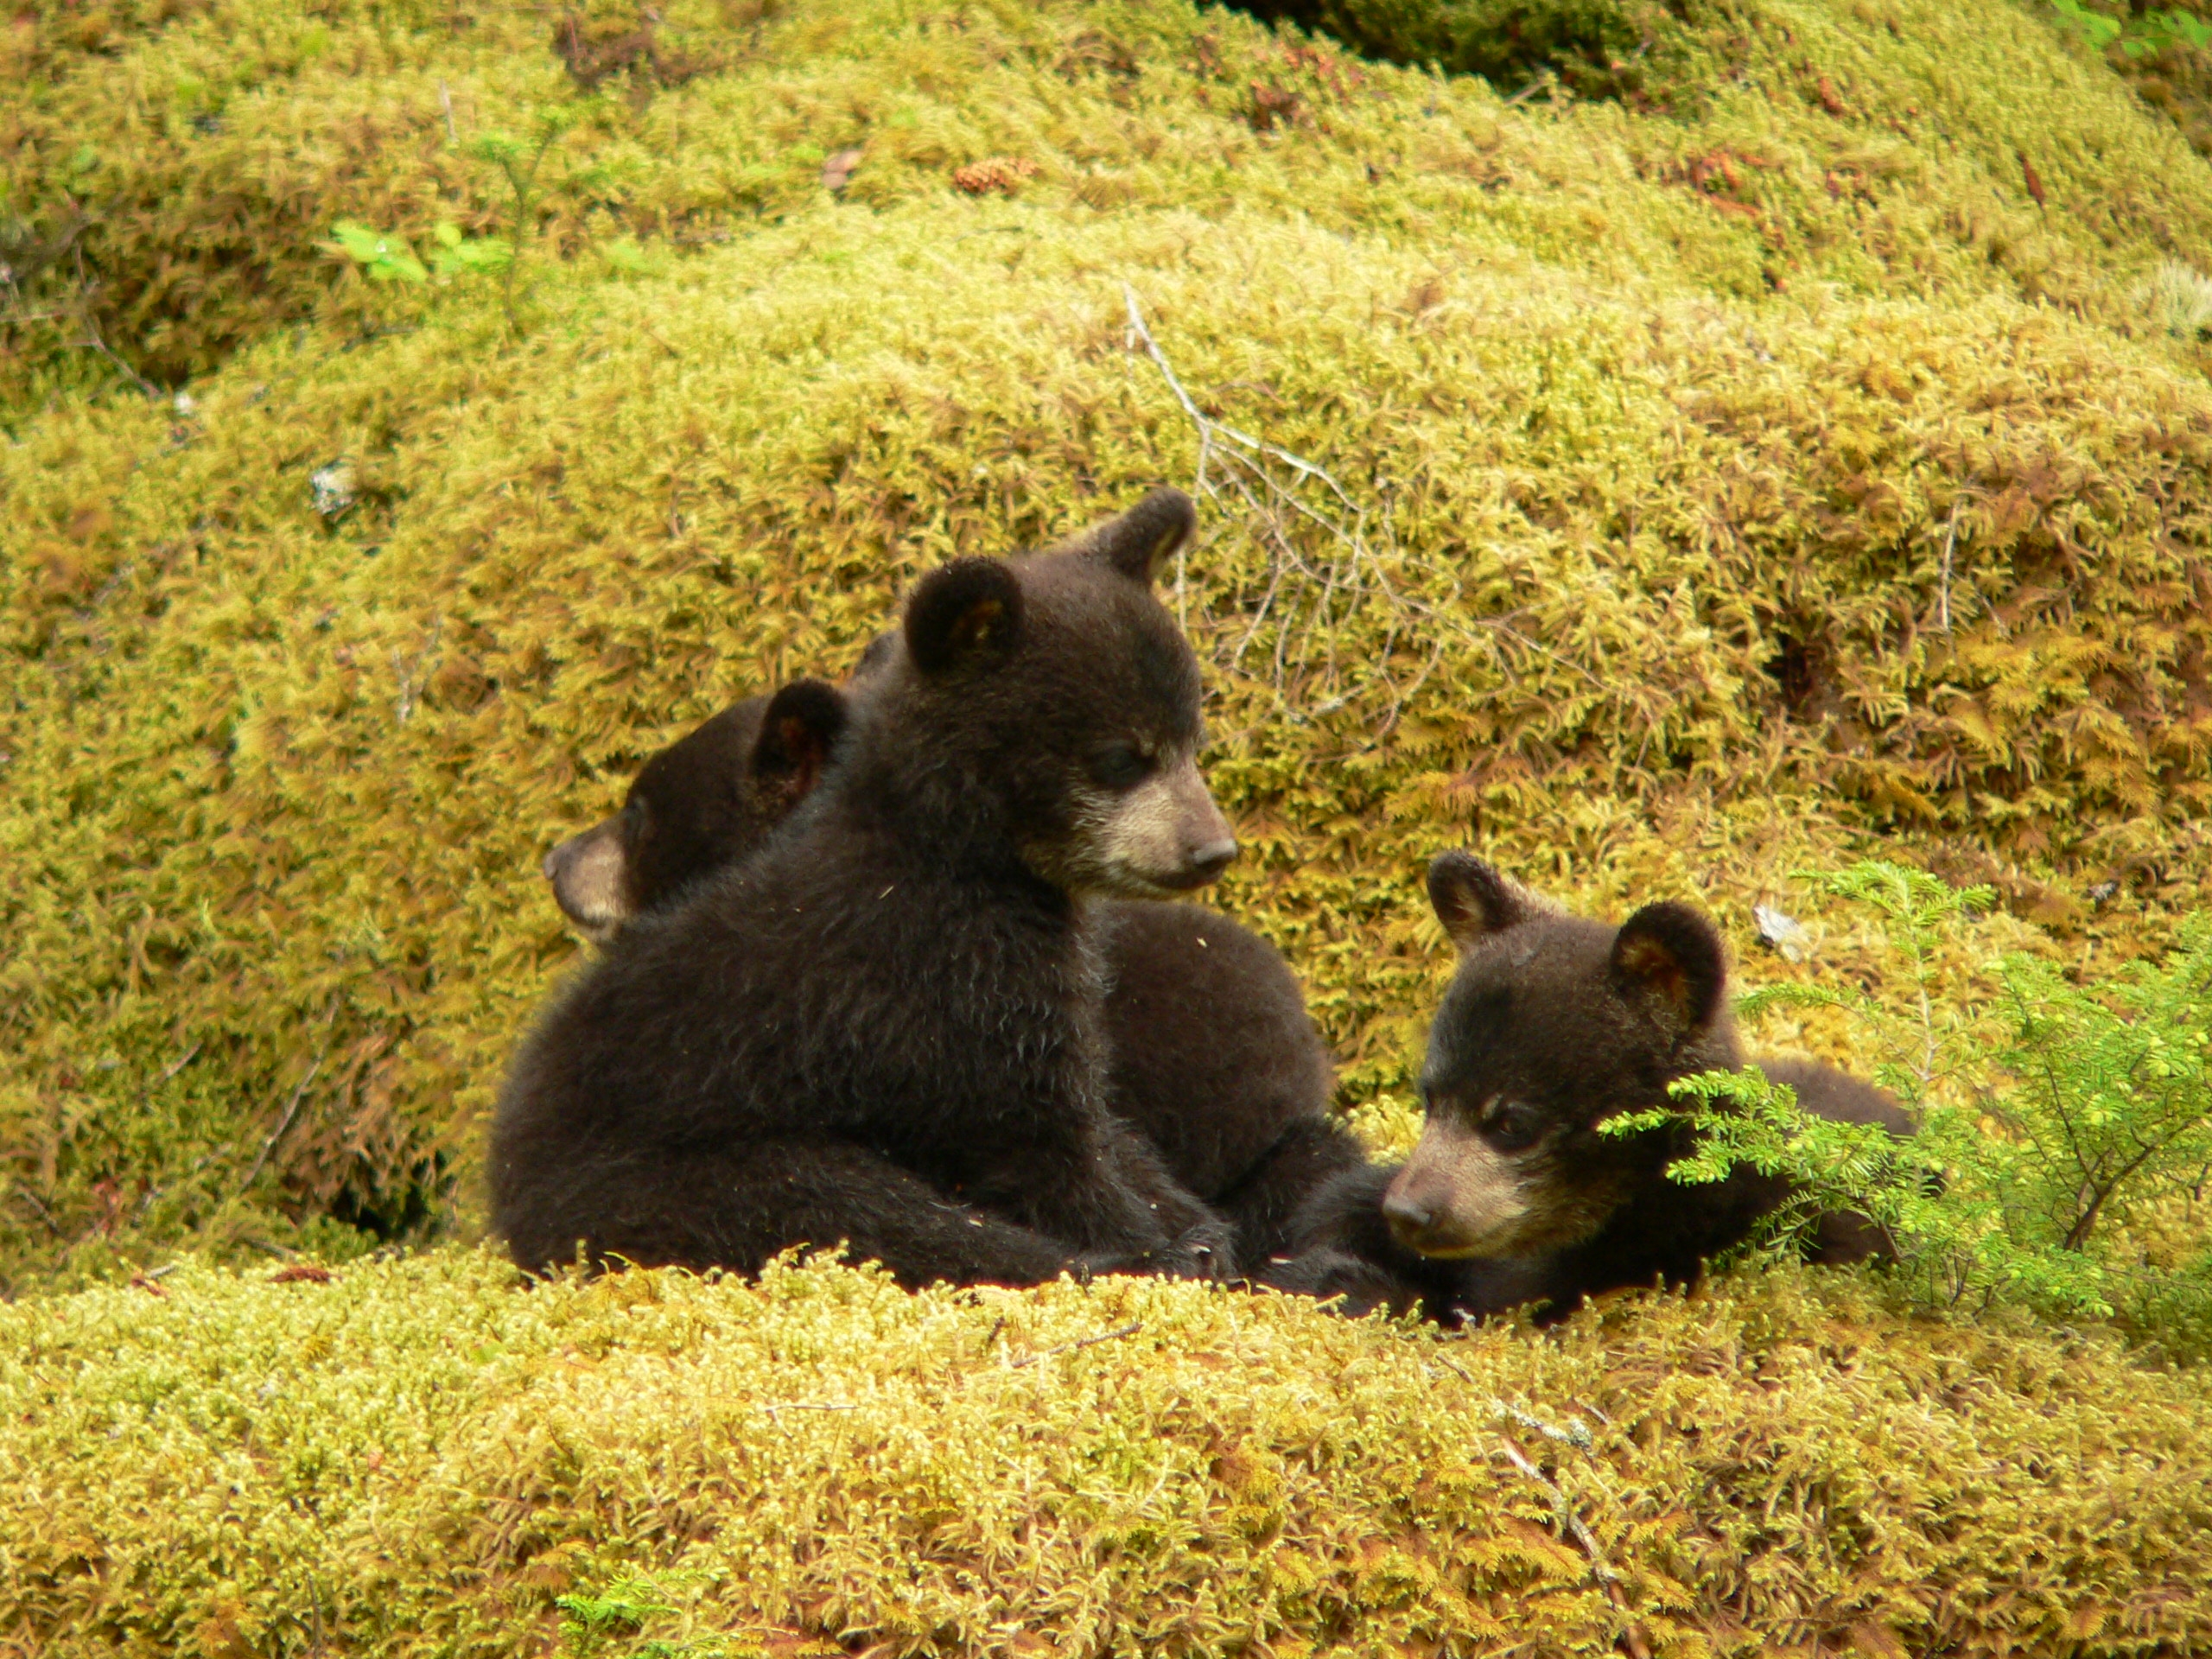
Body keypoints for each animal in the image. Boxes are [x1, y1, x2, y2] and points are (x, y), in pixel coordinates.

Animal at [490, 488, 1249, 1289]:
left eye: (1191, 740)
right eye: (1123, 756)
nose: (1211, 848)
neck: (963, 857)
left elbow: (1107, 1125)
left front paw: (1194, 1226)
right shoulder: (936, 979)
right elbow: (1031, 1132)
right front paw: (1153, 1246)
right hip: (679, 1170)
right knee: (853, 1209)